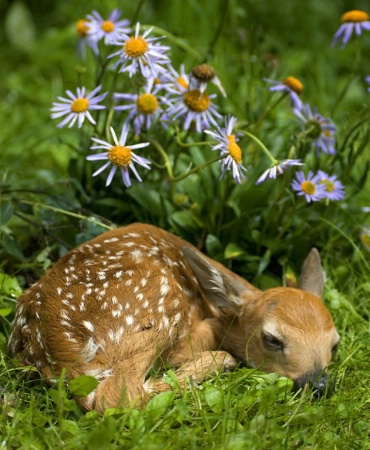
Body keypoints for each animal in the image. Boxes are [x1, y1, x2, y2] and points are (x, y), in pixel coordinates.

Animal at [7, 221, 340, 412]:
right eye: (271, 339)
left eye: (335, 344)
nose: (318, 384)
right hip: (159, 302)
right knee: (117, 395)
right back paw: (219, 361)